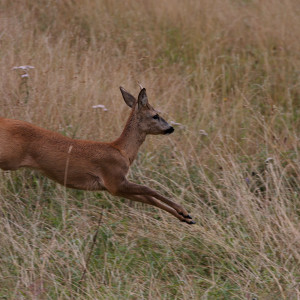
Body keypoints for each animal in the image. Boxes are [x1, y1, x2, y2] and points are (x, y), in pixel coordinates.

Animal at [0, 85, 196, 224]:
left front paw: (186, 218)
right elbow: (150, 189)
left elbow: (148, 198)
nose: (170, 128)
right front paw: (185, 211)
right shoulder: (114, 179)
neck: (122, 150)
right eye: (155, 115)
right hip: (9, 158)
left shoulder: (112, 187)